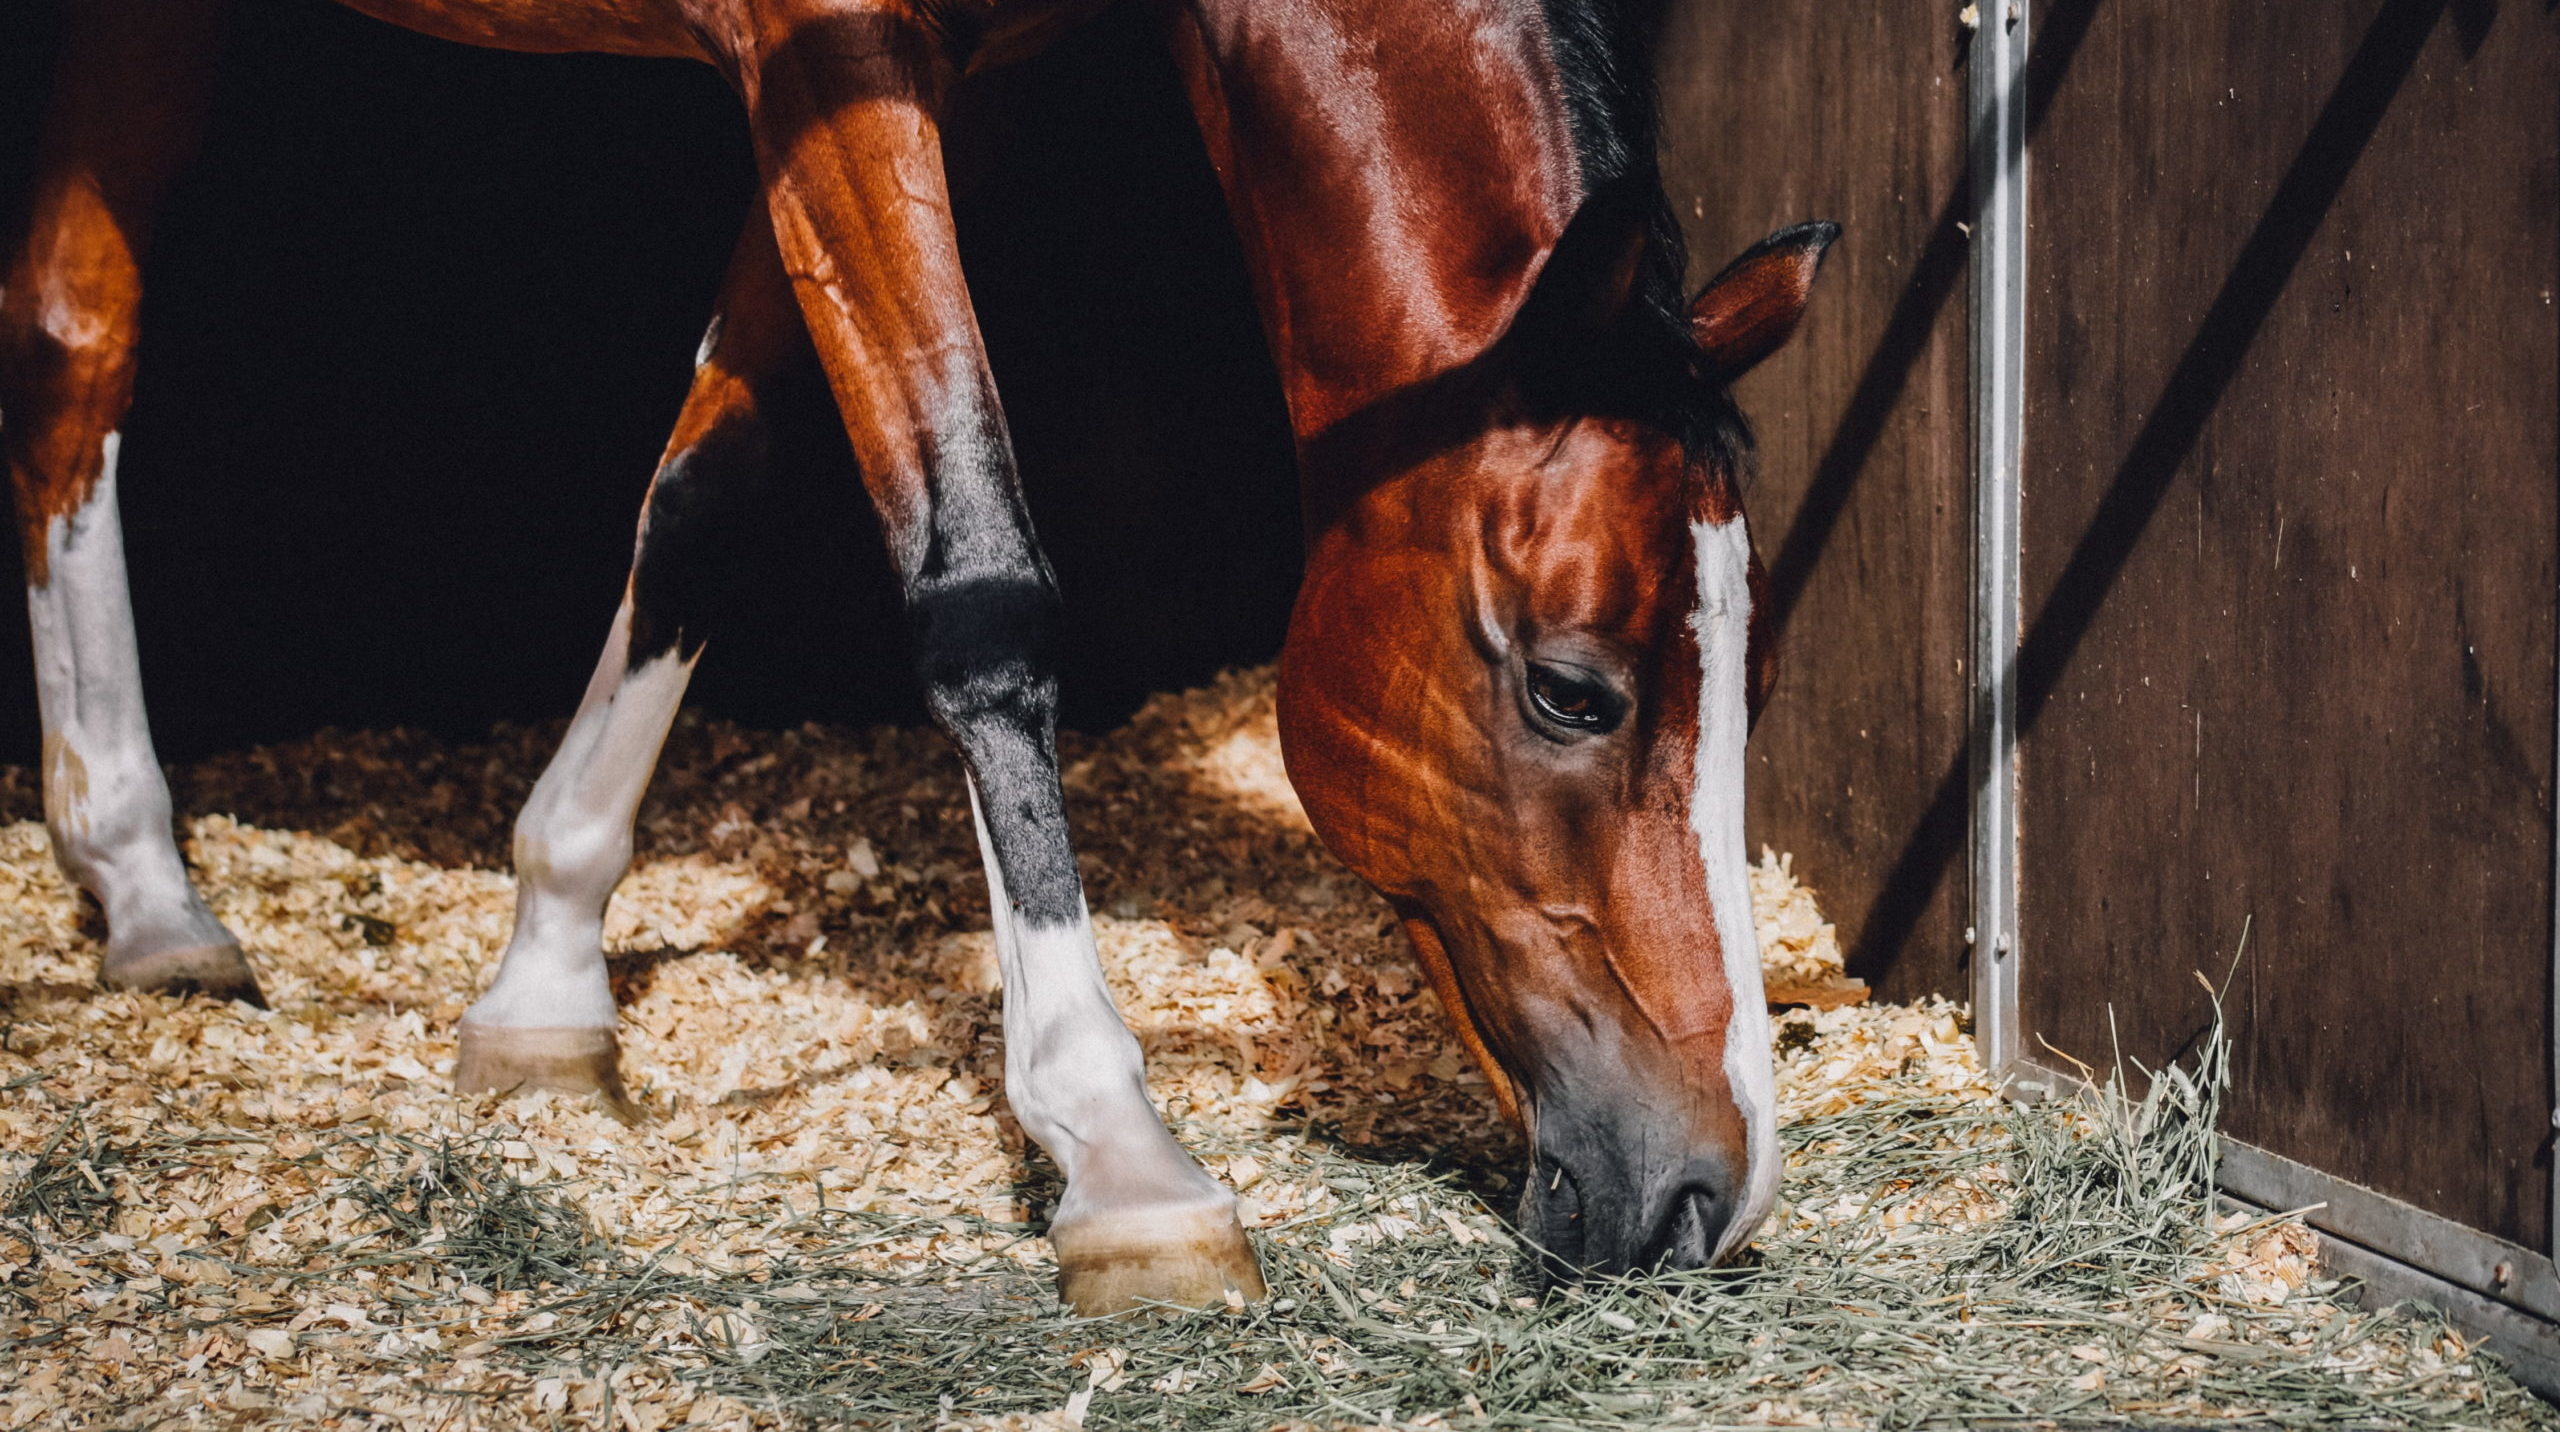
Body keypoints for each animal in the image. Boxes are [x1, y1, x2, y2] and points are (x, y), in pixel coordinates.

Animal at [5, 0, 1843, 1321]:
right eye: (1572, 689)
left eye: (1754, 691)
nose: (1715, 1187)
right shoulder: (830, 46)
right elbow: (978, 577)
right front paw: (1121, 1157)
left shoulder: (855, 88)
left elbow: (708, 498)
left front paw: (548, 976)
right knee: (79, 348)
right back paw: (146, 879)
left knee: (70, 333)